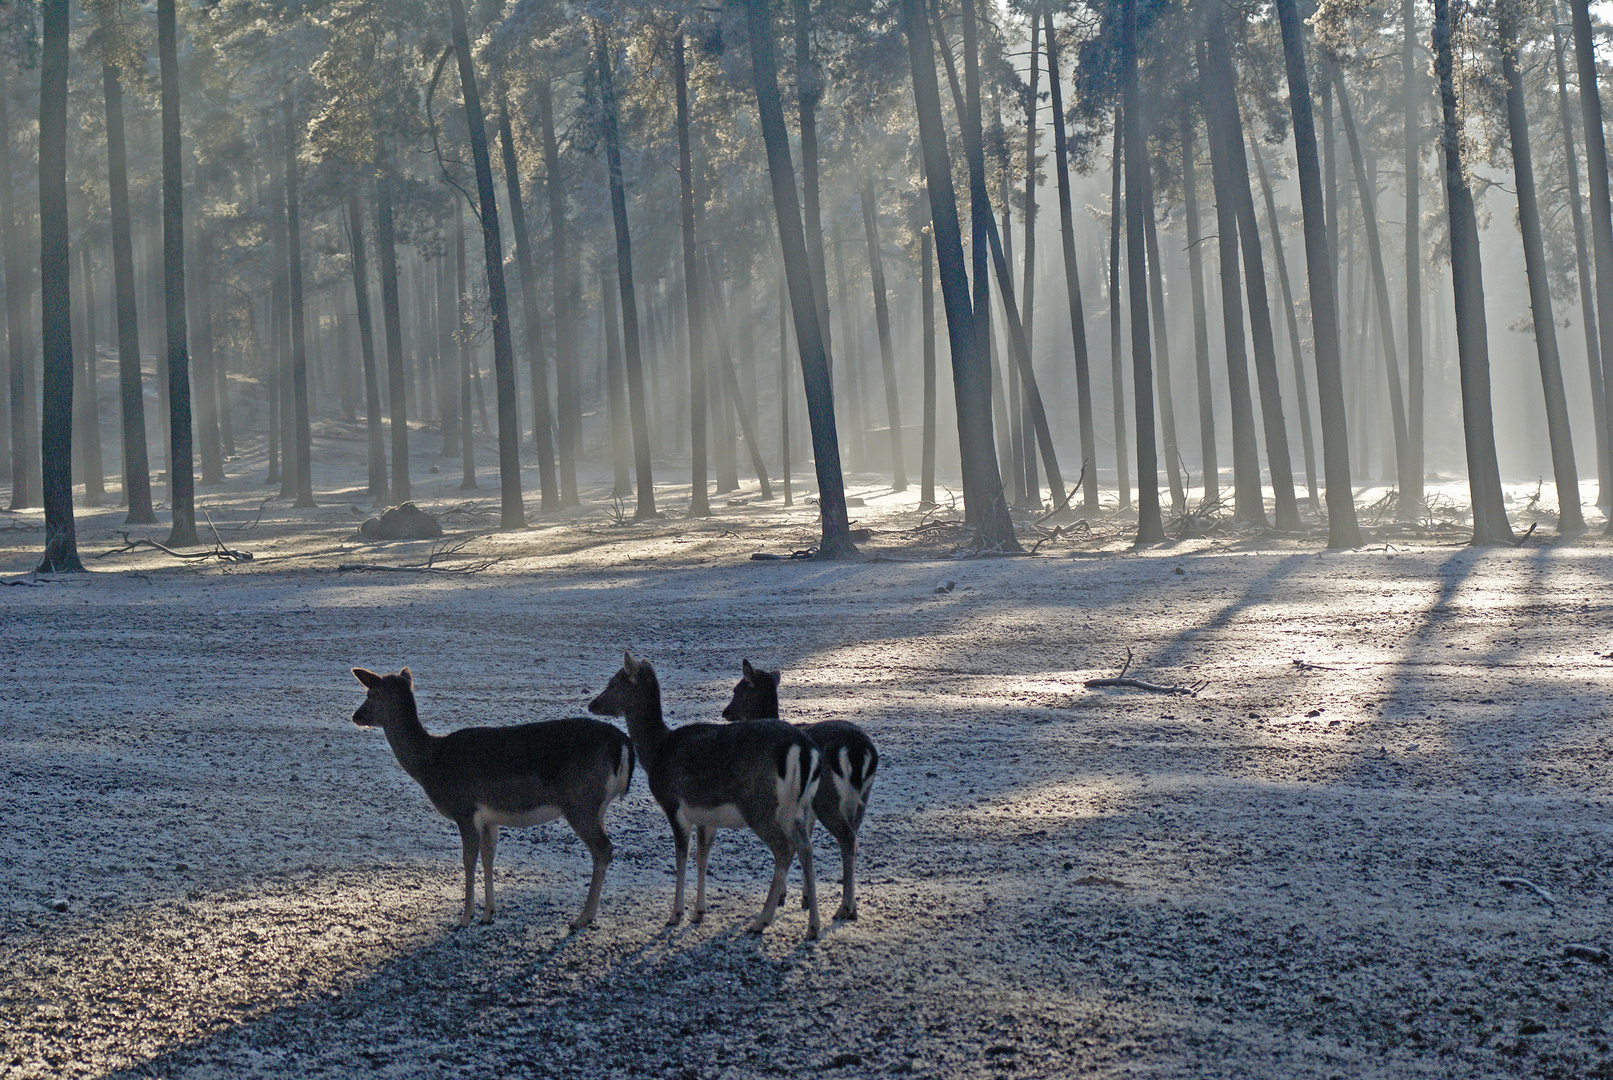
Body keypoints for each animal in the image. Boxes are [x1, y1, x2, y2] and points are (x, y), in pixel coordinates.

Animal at [353, 667, 635, 928]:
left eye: (371, 694)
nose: (356, 716)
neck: (430, 763)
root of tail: (621, 743)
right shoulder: (489, 818)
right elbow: (488, 857)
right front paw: (489, 913)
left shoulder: (465, 808)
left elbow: (468, 860)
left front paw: (465, 917)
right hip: (598, 805)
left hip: (580, 802)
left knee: (603, 849)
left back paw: (583, 918)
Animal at [587, 651, 825, 941]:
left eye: (614, 683)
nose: (592, 703)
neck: (657, 752)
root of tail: (804, 749)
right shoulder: (706, 815)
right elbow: (702, 857)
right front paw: (698, 913)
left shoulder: (674, 804)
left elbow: (681, 857)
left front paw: (675, 915)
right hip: (800, 807)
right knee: (806, 848)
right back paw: (813, 925)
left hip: (760, 805)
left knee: (784, 849)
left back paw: (761, 921)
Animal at [725, 660, 883, 922]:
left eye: (738, 690)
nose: (725, 713)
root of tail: (858, 751)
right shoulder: (806, 808)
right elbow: (805, 841)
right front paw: (806, 898)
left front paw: (782, 896)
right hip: (862, 797)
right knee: (853, 838)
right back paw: (852, 907)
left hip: (828, 796)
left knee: (847, 838)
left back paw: (844, 908)